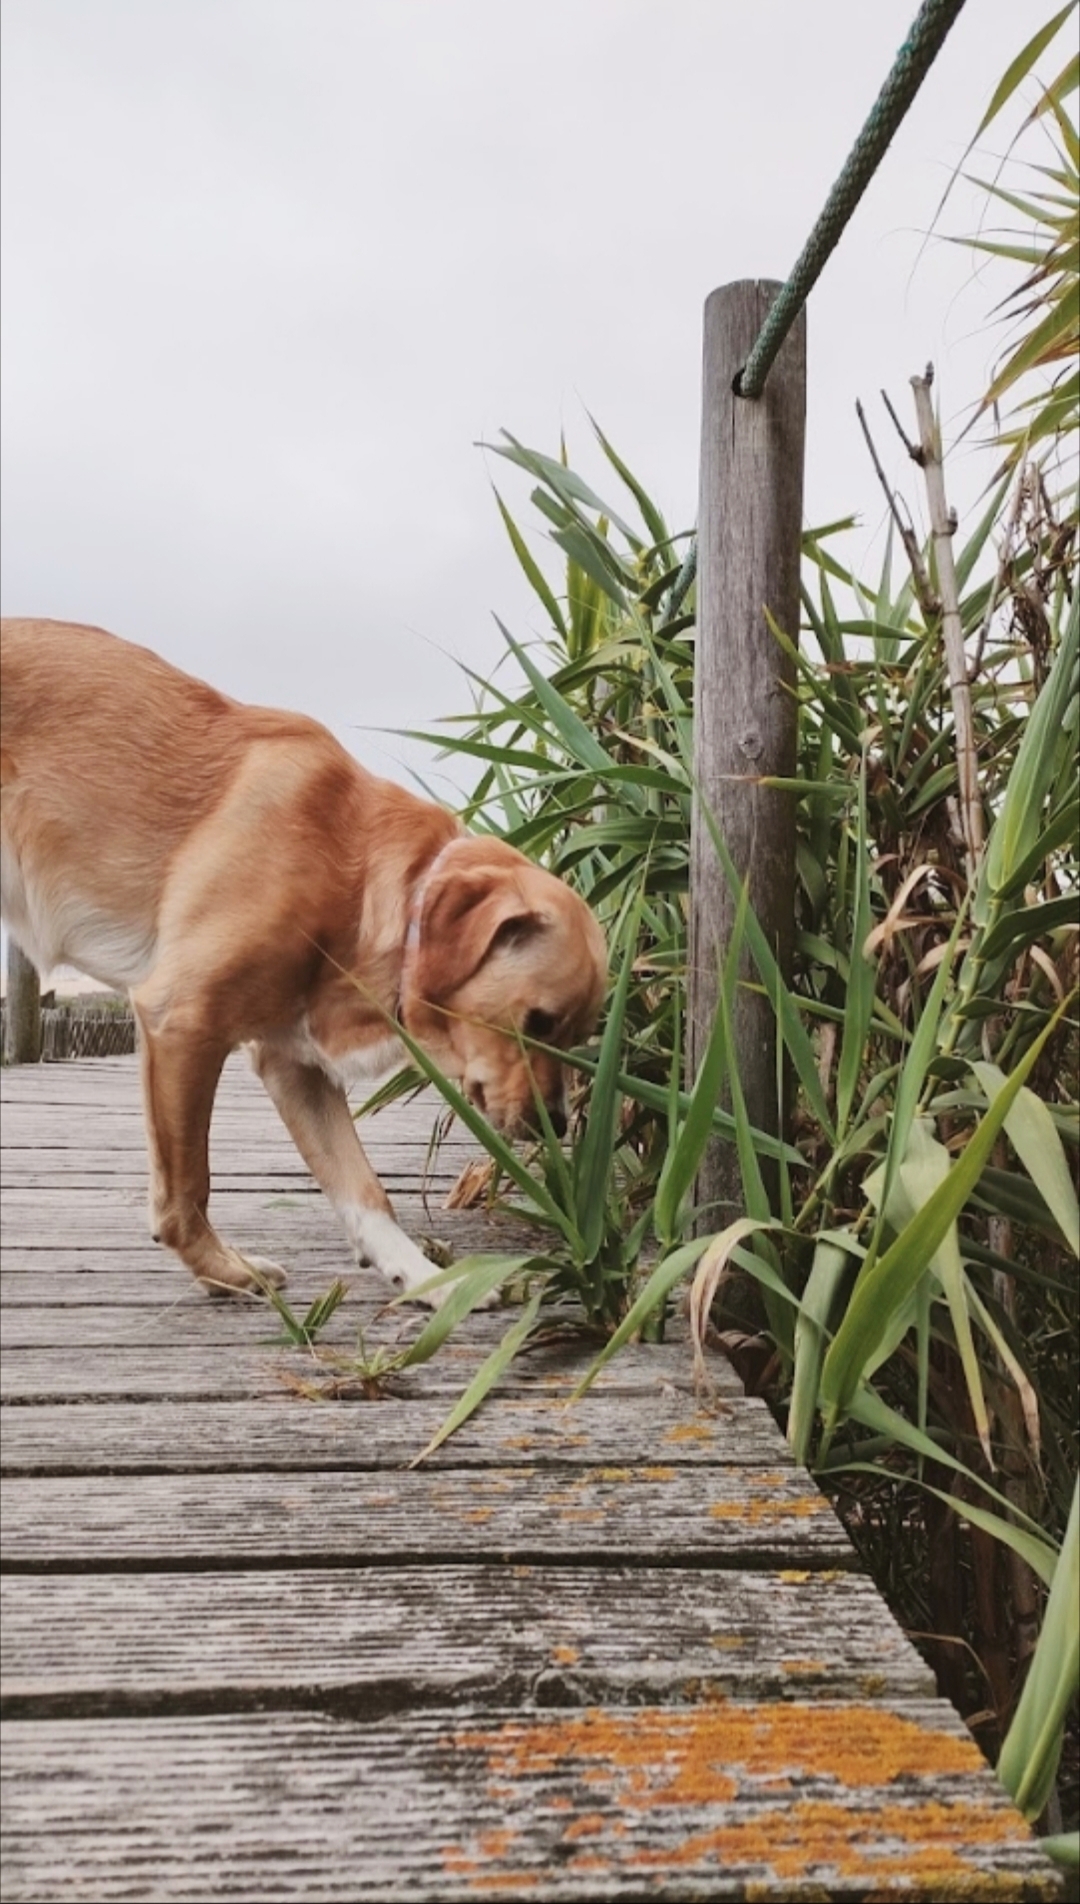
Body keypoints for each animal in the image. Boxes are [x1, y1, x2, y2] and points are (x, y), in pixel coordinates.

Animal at [0, 616, 609, 1302]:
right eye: (536, 1022)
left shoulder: (294, 1065)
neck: (357, 872)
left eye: (574, 1037)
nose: (555, 1124)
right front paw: (223, 1270)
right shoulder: (181, 1022)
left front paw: (426, 1280)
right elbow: (189, 1185)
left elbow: (363, 1189)